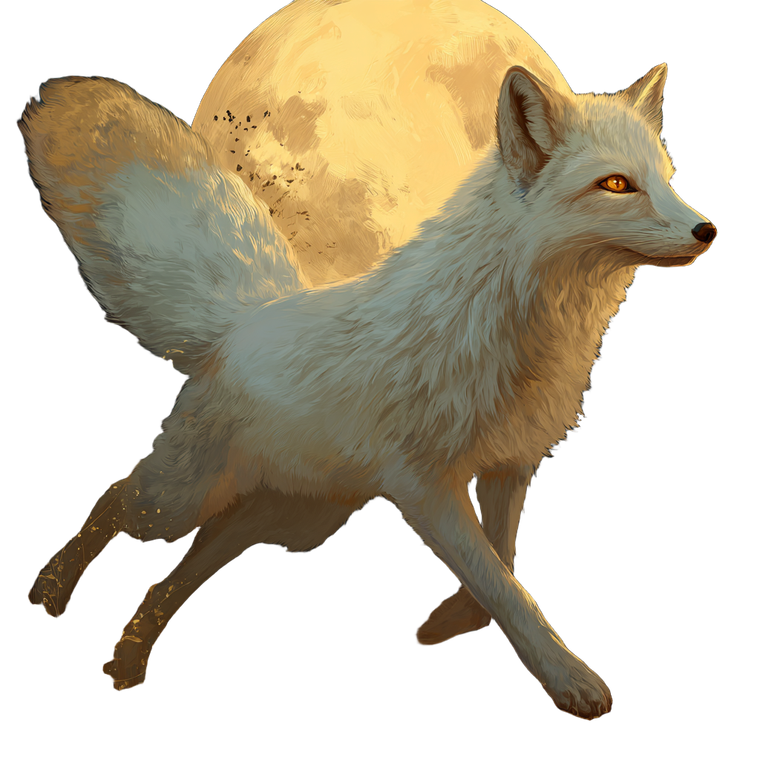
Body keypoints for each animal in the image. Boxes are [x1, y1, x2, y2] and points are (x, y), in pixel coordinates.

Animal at [20, 12, 716, 719]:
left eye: (666, 179)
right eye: (616, 184)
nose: (706, 231)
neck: (522, 330)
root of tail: (245, 318)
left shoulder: (509, 463)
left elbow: (502, 561)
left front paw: (452, 621)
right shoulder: (424, 485)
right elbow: (504, 585)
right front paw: (568, 679)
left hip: (290, 521)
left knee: (177, 574)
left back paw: (128, 659)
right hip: (178, 502)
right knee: (117, 502)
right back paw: (51, 590)